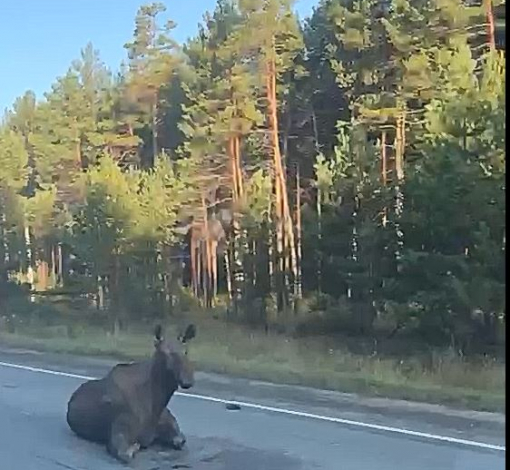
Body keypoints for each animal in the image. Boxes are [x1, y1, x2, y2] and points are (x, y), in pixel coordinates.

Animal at [66, 324, 197, 462]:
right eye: (164, 352)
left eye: (186, 351)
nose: (187, 380)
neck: (156, 405)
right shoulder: (119, 434)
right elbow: (128, 452)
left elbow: (180, 440)